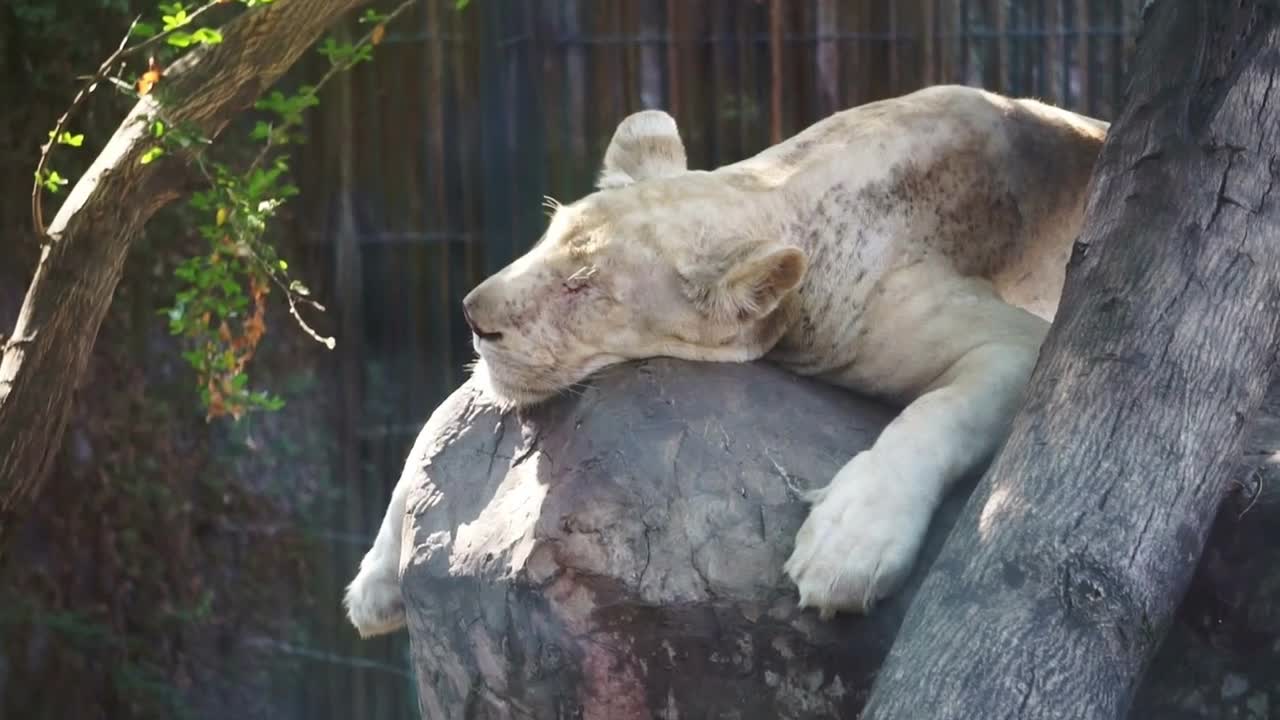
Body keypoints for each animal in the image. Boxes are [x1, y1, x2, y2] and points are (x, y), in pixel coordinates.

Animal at [345, 85, 1105, 632]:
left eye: (583, 286)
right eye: (549, 234)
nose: (474, 316)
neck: (774, 191)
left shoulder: (1019, 341)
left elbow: (937, 415)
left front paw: (849, 546)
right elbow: (433, 423)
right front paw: (376, 582)